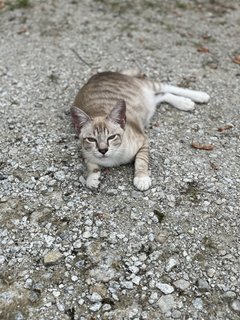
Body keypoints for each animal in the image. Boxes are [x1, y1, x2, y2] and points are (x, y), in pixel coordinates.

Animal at [70, 69, 209, 190]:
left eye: (111, 137)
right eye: (91, 139)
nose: (103, 150)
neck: (112, 159)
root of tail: (99, 75)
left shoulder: (143, 141)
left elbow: (141, 161)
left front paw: (141, 178)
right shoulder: (85, 152)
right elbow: (90, 165)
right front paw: (92, 178)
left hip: (148, 86)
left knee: (166, 87)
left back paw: (198, 96)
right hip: (150, 102)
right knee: (163, 95)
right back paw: (184, 103)